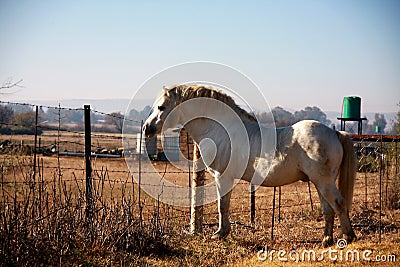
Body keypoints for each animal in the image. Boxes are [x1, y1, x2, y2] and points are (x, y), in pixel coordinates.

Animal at [144, 84, 356, 247]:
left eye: (161, 107)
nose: (147, 128)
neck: (220, 129)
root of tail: (334, 133)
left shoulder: (222, 177)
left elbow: (223, 206)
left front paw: (220, 234)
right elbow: (224, 206)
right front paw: (222, 232)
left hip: (324, 181)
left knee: (338, 203)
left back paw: (348, 237)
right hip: (319, 183)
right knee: (328, 209)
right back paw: (326, 240)